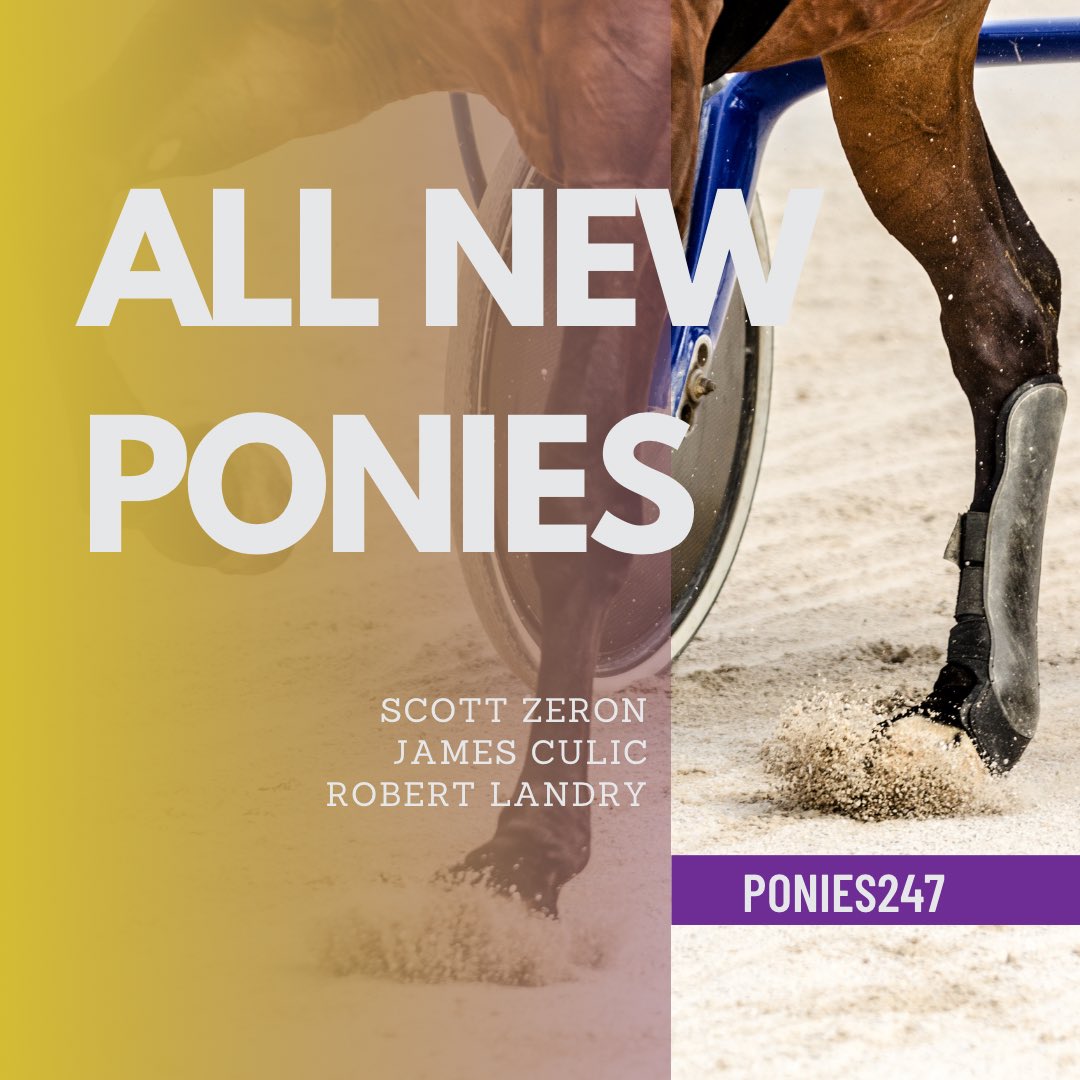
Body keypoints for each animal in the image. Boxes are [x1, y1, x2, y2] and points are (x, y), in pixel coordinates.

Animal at [75, 0, 1065, 914]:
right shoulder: (298, 47)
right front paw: (199, 494)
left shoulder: (626, 97)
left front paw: (533, 841)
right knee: (1021, 301)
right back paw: (969, 700)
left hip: (900, 48)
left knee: (1001, 314)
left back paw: (973, 697)